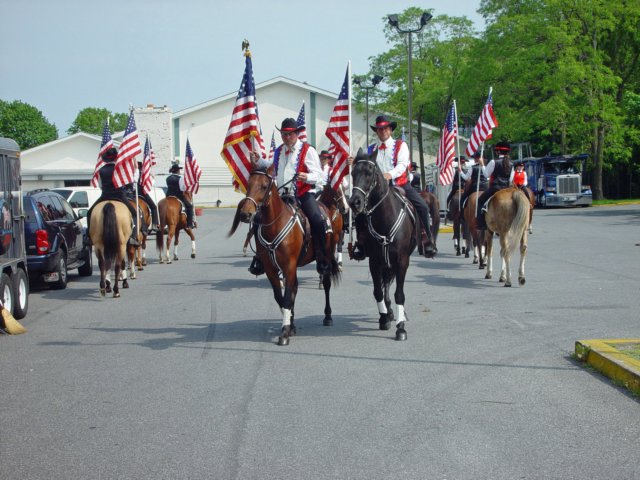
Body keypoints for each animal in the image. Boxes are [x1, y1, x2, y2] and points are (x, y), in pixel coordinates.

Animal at [228, 167, 342, 346]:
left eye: (264, 186)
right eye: (248, 184)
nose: (245, 214)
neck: (275, 224)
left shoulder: (288, 266)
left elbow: (287, 298)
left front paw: (284, 333)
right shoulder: (272, 269)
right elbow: (281, 298)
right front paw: (290, 326)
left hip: (326, 258)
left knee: (327, 283)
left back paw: (328, 316)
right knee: (295, 288)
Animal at [348, 150, 418, 342]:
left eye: (369, 173)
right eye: (352, 173)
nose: (354, 202)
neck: (385, 219)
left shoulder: (402, 261)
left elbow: (399, 294)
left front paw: (400, 328)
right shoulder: (375, 261)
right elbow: (378, 291)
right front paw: (384, 318)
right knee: (385, 284)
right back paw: (389, 312)